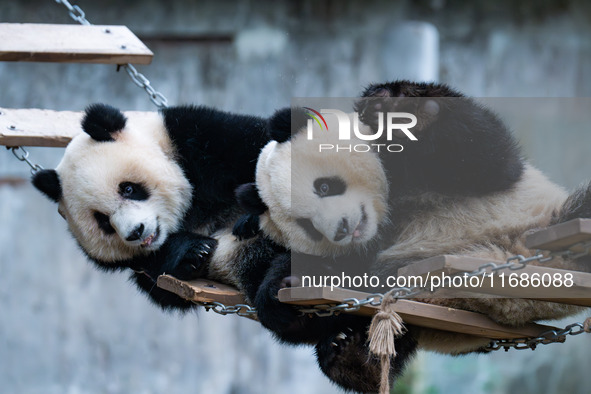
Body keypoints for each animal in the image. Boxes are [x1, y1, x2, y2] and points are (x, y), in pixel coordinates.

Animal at [31, 102, 272, 310]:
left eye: (128, 189)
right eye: (103, 221)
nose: (136, 232)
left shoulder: (198, 136)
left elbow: (258, 147)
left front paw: (250, 219)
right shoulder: (142, 268)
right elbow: (164, 285)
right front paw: (194, 250)